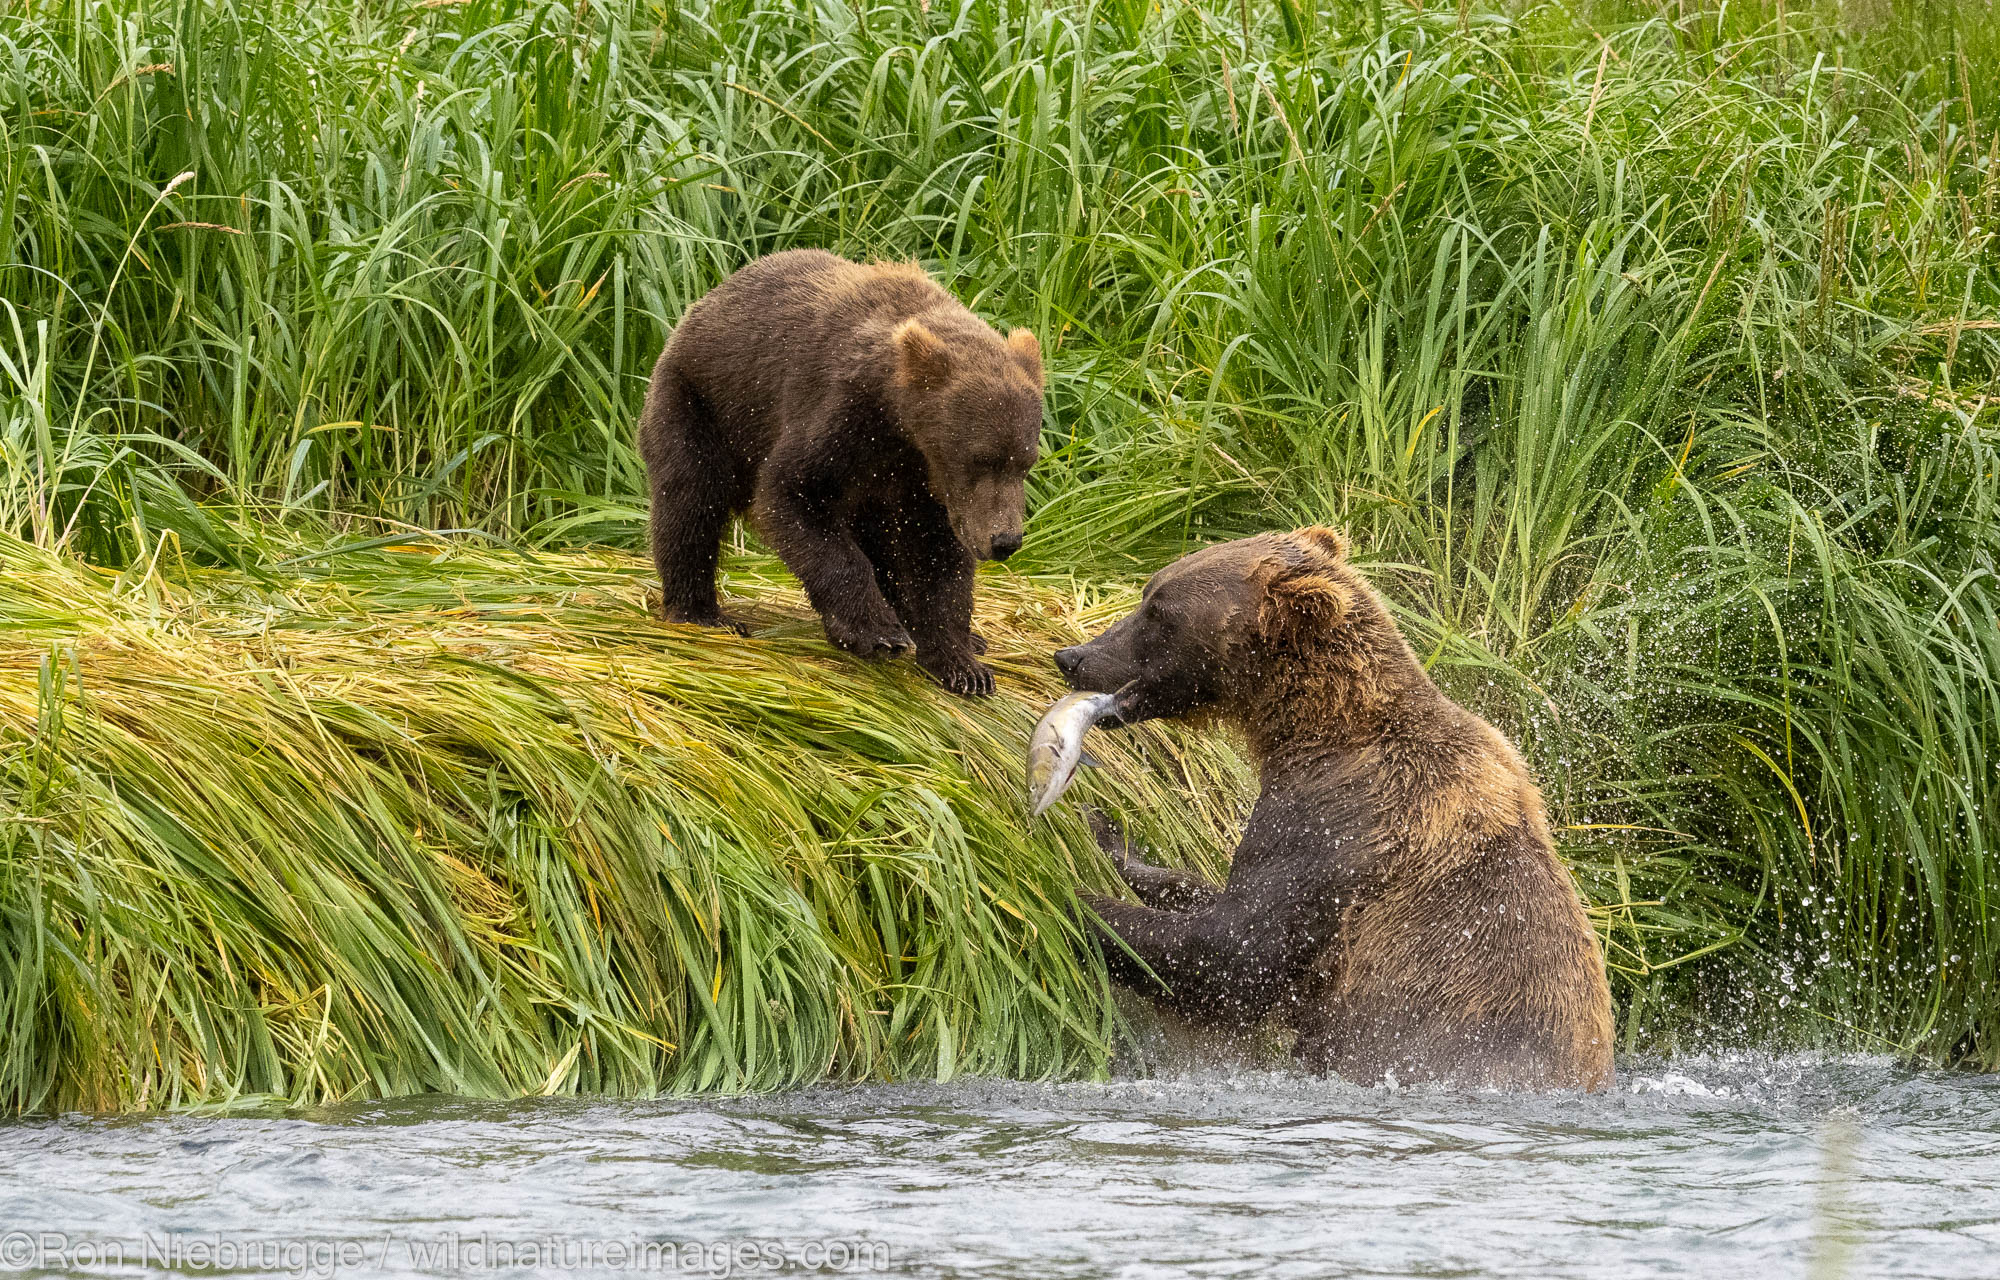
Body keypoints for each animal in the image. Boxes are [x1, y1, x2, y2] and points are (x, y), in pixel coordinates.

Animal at [640, 245, 1048, 696]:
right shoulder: (840, 414)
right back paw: (701, 612)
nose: (1004, 540)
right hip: (699, 404)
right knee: (690, 500)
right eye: (979, 458)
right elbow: (793, 495)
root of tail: (698, 308)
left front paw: (960, 662)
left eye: (1025, 463)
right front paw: (875, 631)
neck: (900, 423)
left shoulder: (921, 480)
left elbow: (936, 558)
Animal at [1056, 528, 1616, 1088]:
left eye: (1159, 613)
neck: (1315, 732)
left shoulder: (1340, 824)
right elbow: (1210, 897)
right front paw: (1106, 837)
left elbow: (1231, 953)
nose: (1072, 656)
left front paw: (1069, 901)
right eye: (1149, 593)